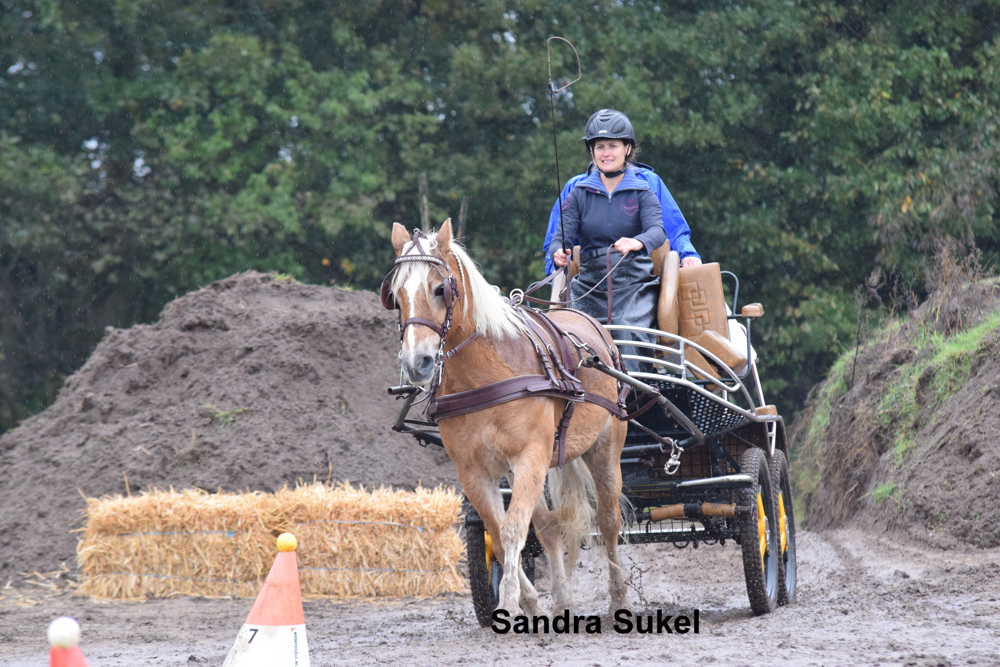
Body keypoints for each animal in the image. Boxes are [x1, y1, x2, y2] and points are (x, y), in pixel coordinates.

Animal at [386, 220, 628, 620]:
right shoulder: (474, 472)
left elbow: (514, 530)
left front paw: (511, 601)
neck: (483, 374)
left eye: (440, 289)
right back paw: (563, 600)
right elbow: (499, 536)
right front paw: (528, 604)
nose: (416, 362)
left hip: (604, 447)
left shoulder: (530, 456)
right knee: (548, 529)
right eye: (396, 294)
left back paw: (619, 599)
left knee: (609, 521)